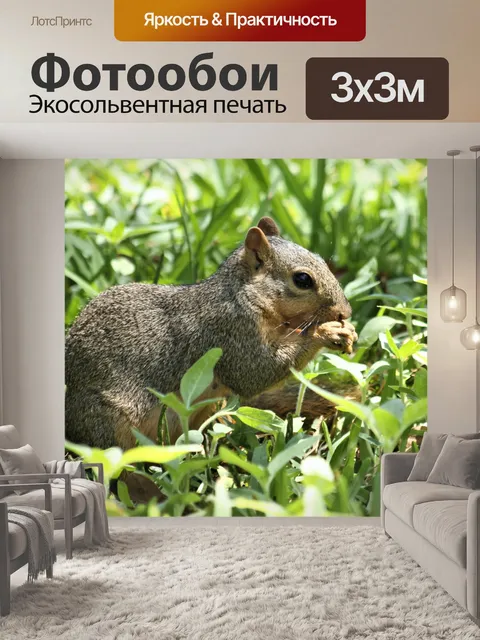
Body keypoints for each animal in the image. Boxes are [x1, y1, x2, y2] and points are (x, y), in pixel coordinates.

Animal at [65, 217, 357, 499]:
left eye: (322, 260)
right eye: (303, 279)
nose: (345, 312)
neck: (242, 294)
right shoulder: (229, 332)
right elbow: (254, 373)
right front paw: (326, 332)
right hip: (108, 424)